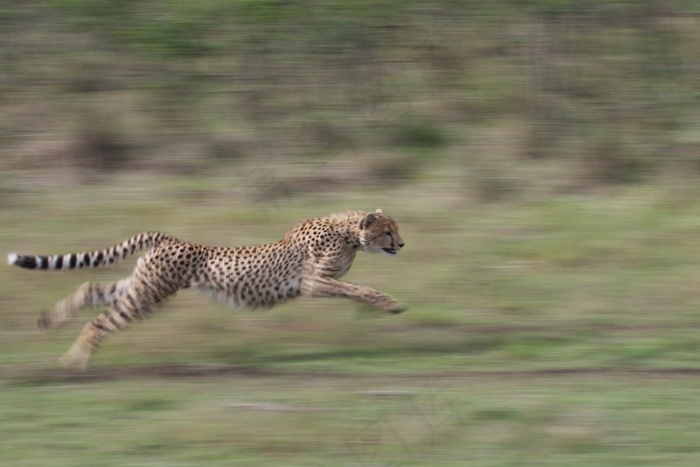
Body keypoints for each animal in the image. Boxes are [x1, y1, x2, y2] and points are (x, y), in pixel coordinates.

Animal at [6, 210, 404, 372]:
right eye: (387, 231)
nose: (401, 244)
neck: (346, 231)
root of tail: (169, 237)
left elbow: (353, 288)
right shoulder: (312, 282)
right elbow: (358, 288)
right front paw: (388, 303)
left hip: (142, 286)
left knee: (90, 288)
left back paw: (48, 321)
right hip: (149, 295)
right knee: (100, 322)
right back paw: (75, 361)